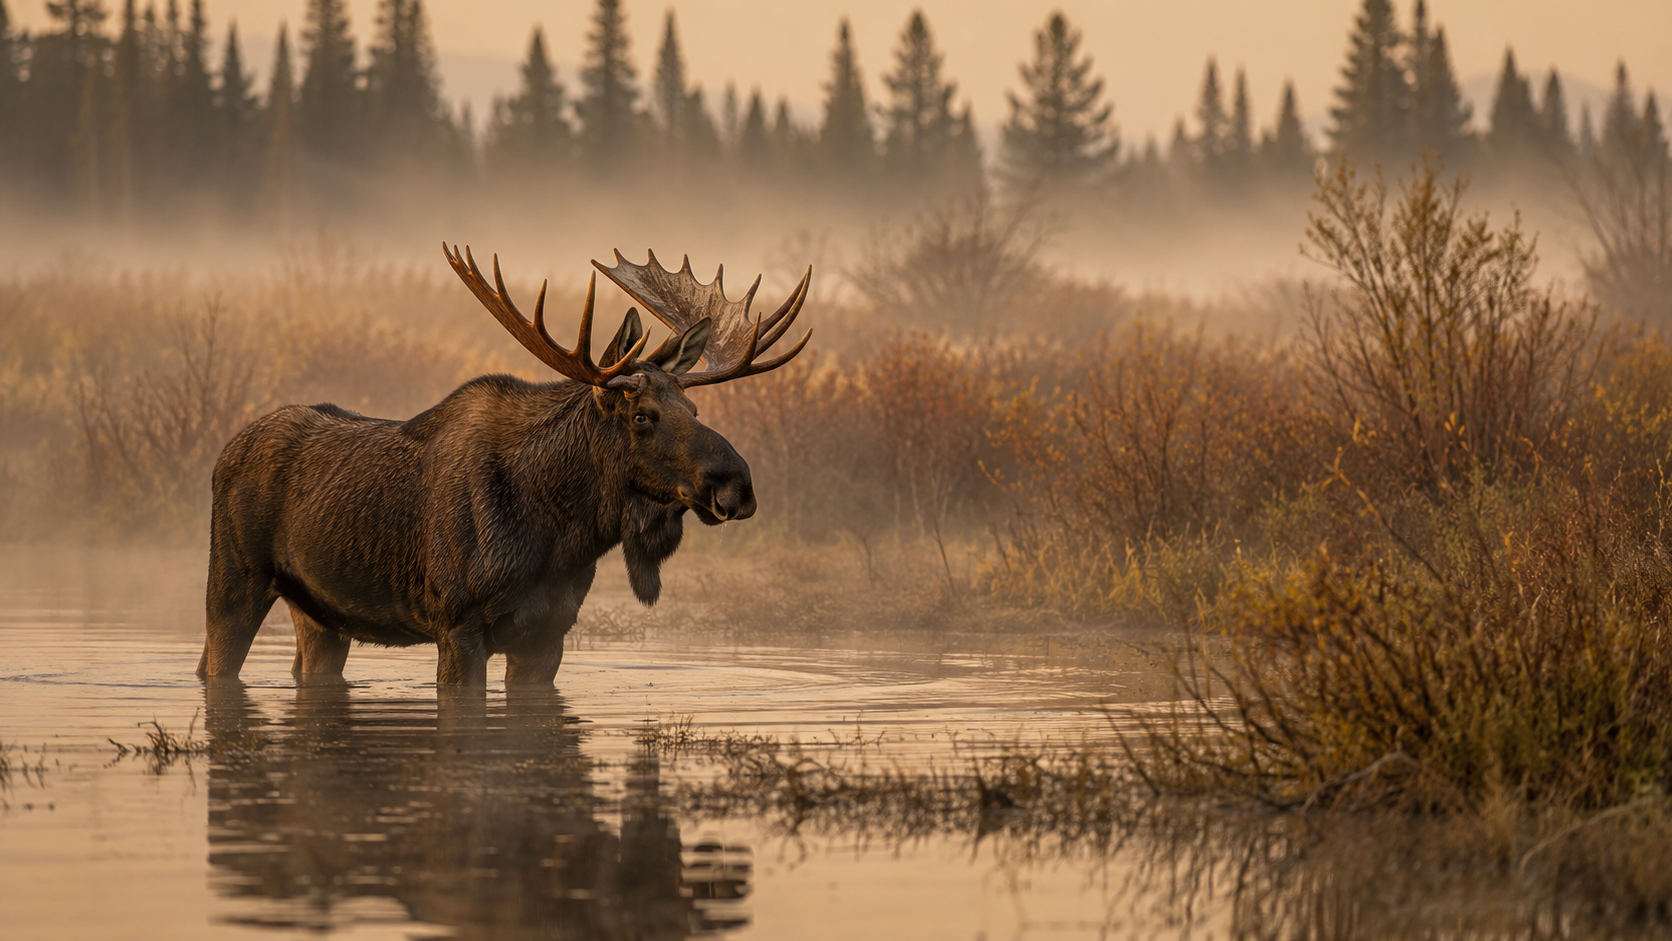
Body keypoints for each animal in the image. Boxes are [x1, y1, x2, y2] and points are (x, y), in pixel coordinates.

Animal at [197, 246, 811, 691]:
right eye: (642, 416)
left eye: (695, 410)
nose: (737, 485)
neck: (562, 538)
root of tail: (225, 452)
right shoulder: (457, 625)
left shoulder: (548, 637)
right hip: (232, 581)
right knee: (213, 663)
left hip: (321, 615)